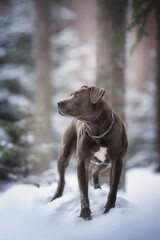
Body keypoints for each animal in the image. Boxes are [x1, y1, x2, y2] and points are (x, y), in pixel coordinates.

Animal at [50, 85, 128, 220]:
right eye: (70, 95)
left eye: (76, 96)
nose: (58, 103)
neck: (97, 129)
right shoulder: (82, 162)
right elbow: (83, 191)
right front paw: (85, 215)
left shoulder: (117, 162)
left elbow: (113, 189)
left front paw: (109, 210)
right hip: (64, 155)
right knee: (61, 180)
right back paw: (56, 197)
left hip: (104, 162)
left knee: (95, 171)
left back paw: (98, 188)